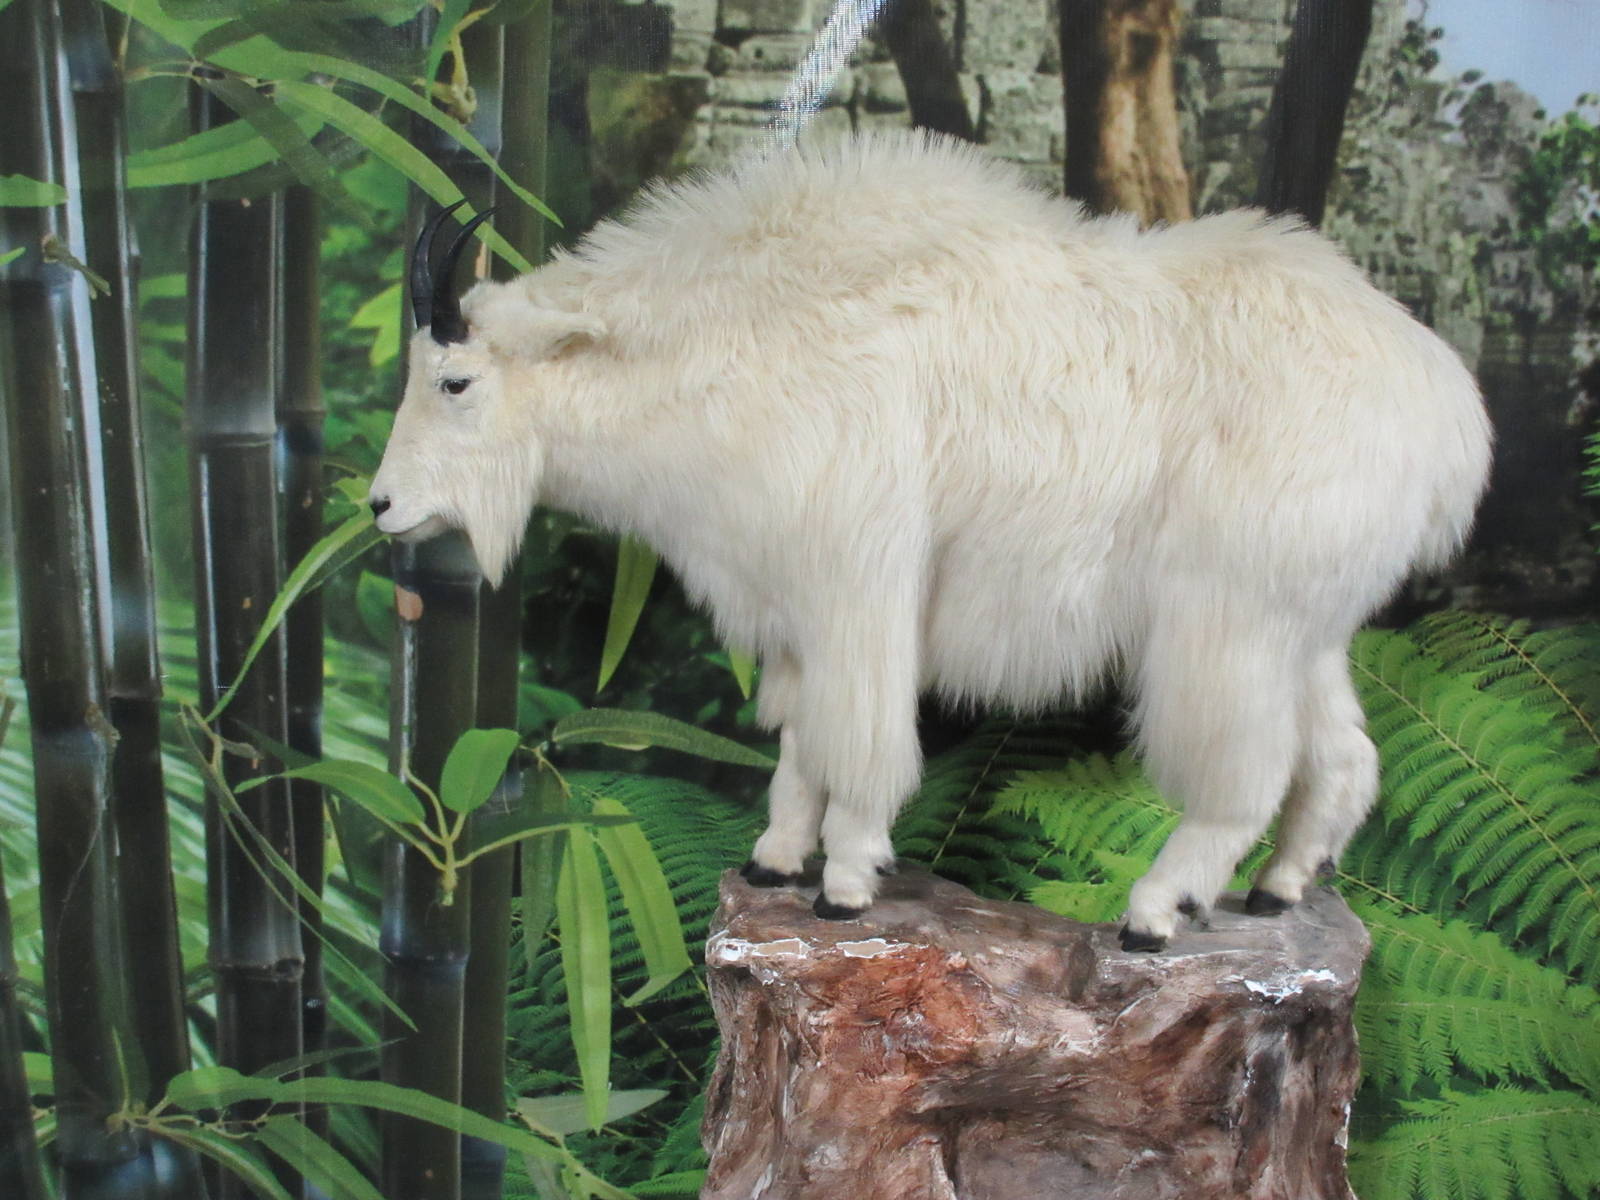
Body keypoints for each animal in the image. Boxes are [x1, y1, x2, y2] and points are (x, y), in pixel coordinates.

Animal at [369, 133, 1491, 950]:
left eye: (454, 381)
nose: (381, 508)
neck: (735, 339)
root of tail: (1448, 414)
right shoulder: (796, 608)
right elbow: (799, 744)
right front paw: (774, 858)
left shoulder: (855, 582)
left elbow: (859, 742)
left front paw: (845, 881)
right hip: (1310, 628)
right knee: (1342, 760)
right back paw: (1280, 890)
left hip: (1232, 621)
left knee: (1242, 777)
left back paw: (1157, 912)